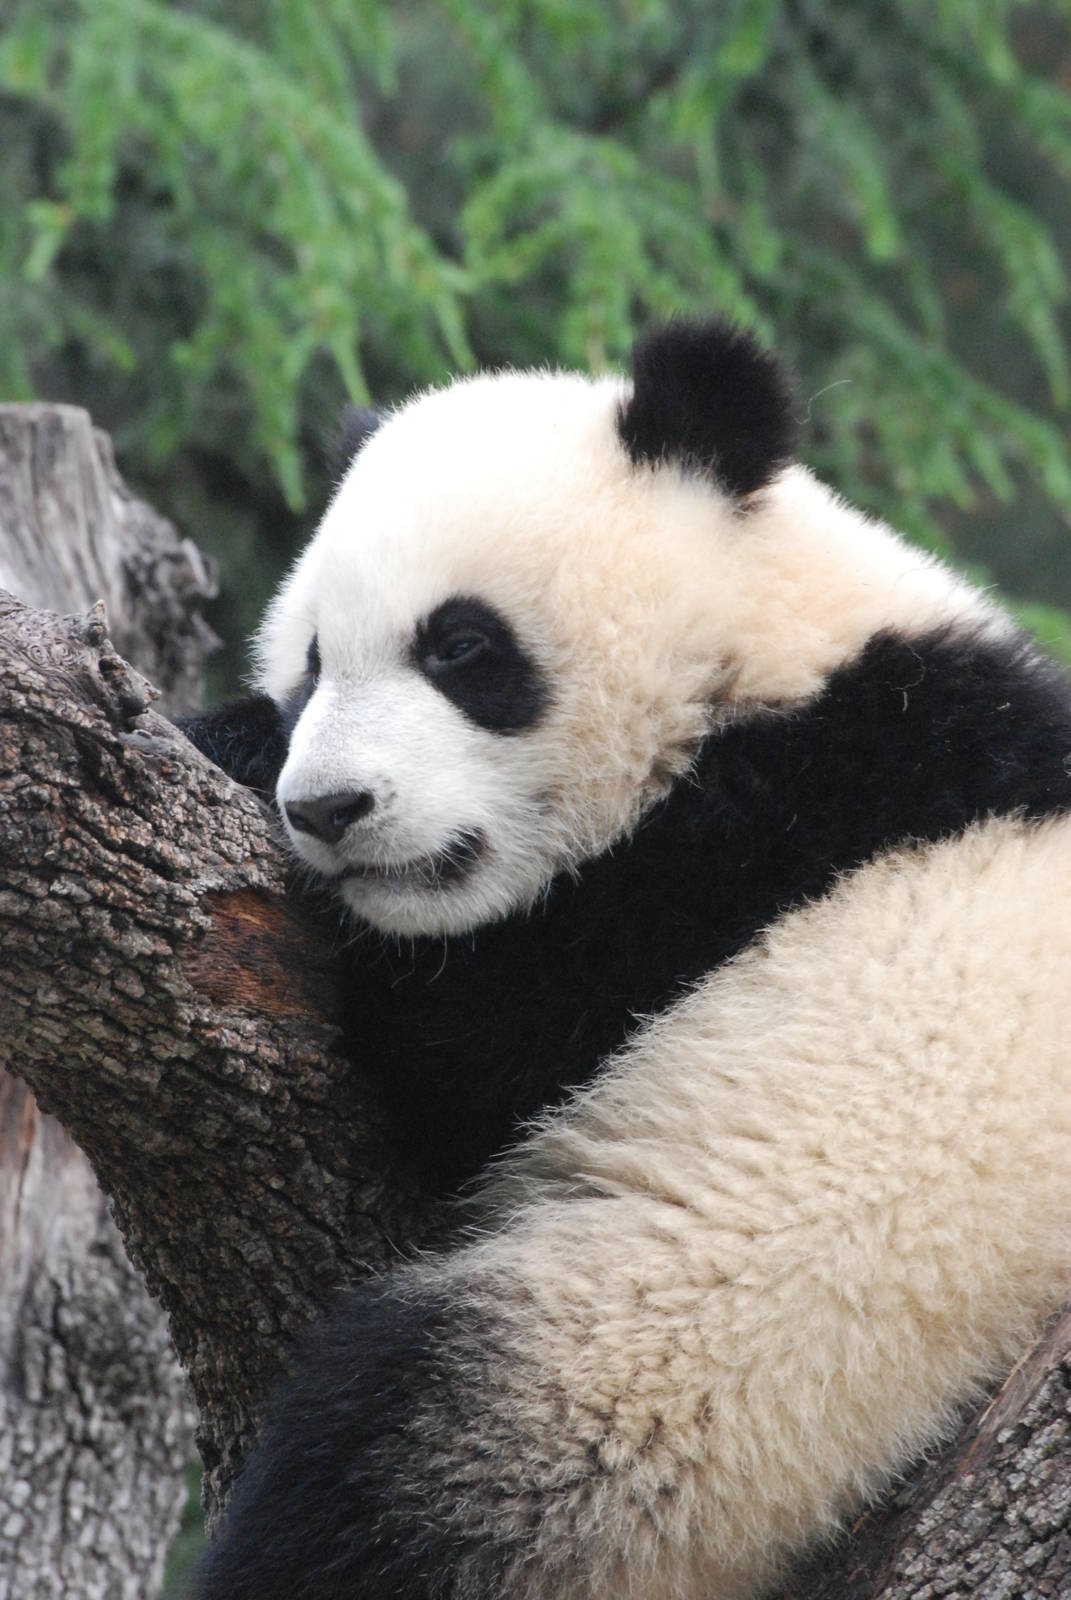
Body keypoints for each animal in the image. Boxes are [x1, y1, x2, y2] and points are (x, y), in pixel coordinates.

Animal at [185, 319, 1071, 1600]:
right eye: (310, 665)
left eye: (461, 647)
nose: (330, 808)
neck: (756, 646)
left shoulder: (778, 821)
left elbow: (469, 1047)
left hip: (679, 1368)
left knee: (374, 1491)